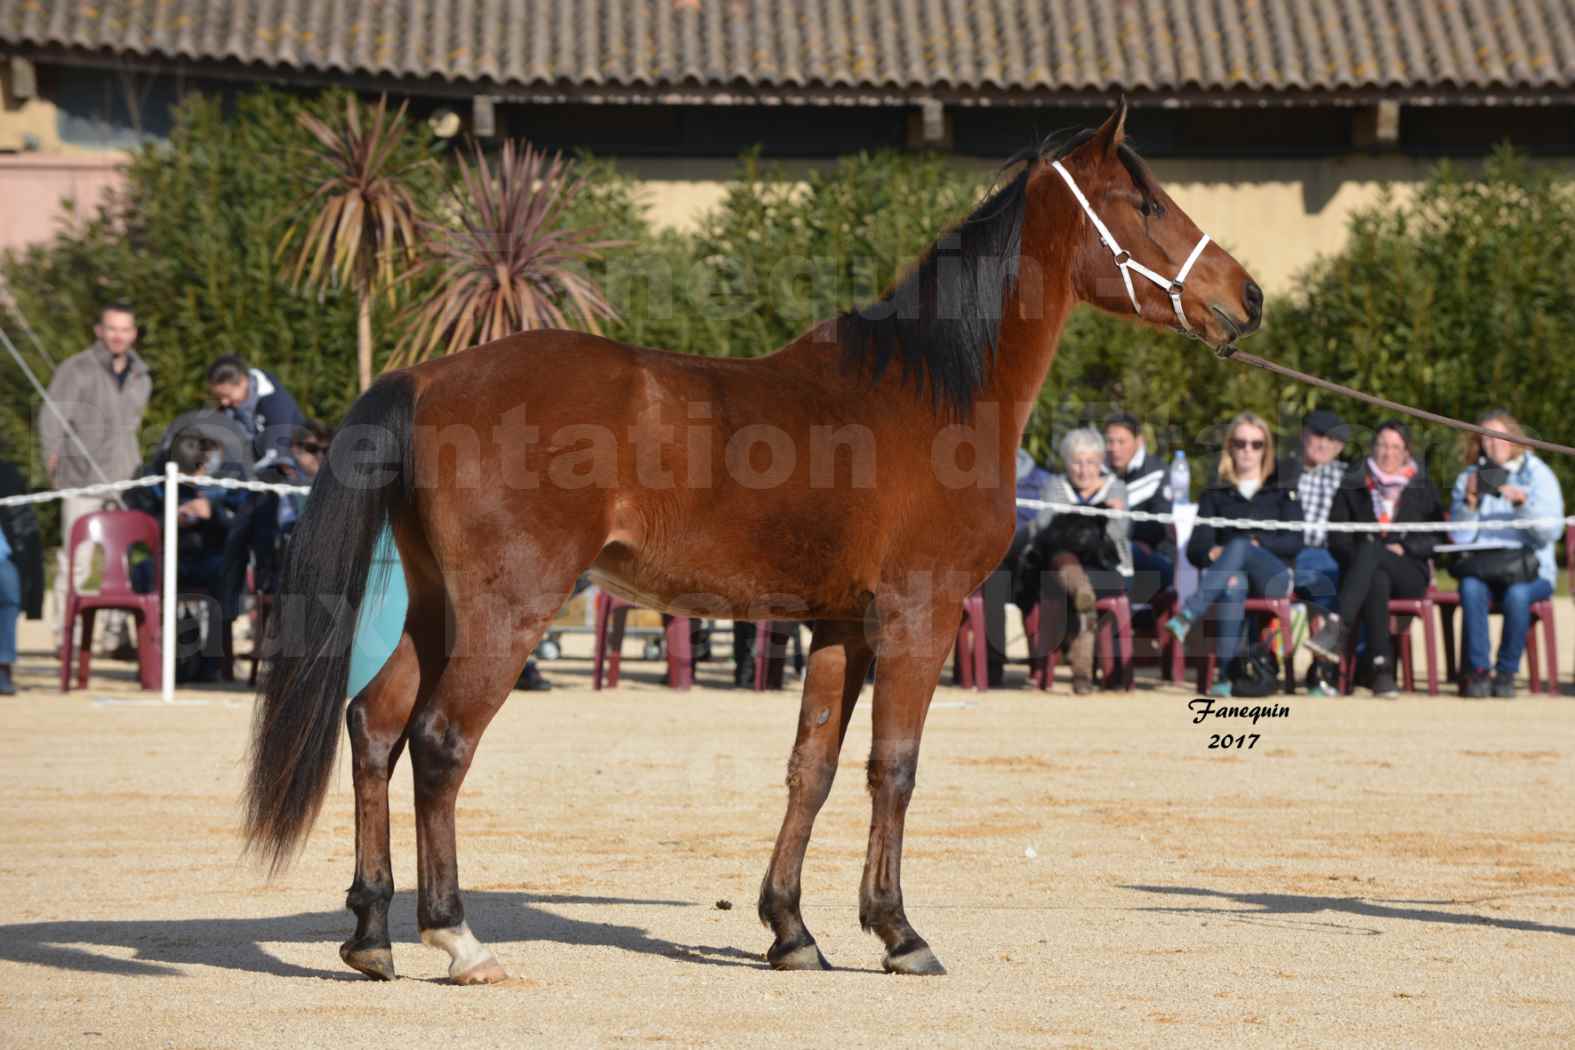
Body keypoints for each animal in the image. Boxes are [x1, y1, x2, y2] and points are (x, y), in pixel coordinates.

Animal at [245, 102, 1260, 982]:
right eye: (1145, 203)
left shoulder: (839, 629)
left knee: (375, 728)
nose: (1245, 295)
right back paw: (454, 937)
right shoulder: (918, 618)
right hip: (504, 613)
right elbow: (893, 769)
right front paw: (898, 932)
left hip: (431, 607)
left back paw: (371, 932)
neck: (932, 394)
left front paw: (792, 930)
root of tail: (424, 378)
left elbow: (811, 771)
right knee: (440, 742)